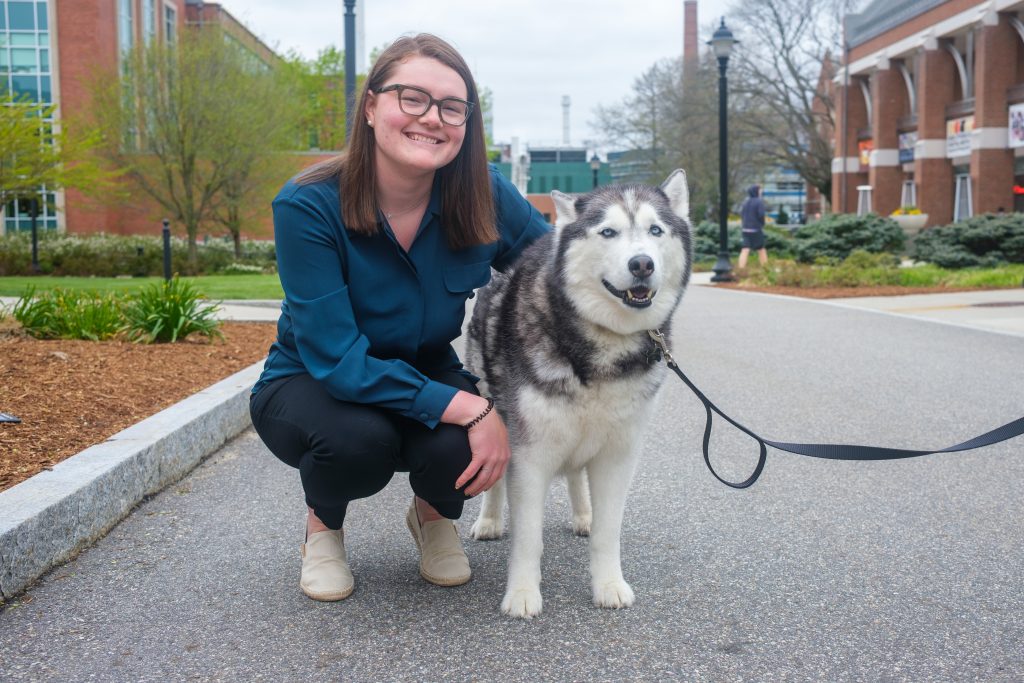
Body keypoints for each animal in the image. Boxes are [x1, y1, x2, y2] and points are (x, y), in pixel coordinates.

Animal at [466, 167, 692, 618]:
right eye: (608, 232)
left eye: (655, 230)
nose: (642, 263)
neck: (604, 344)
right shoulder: (529, 453)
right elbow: (529, 537)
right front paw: (522, 593)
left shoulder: (619, 454)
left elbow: (609, 531)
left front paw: (608, 585)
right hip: (492, 410)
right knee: (495, 474)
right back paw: (490, 520)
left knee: (576, 475)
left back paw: (583, 514)